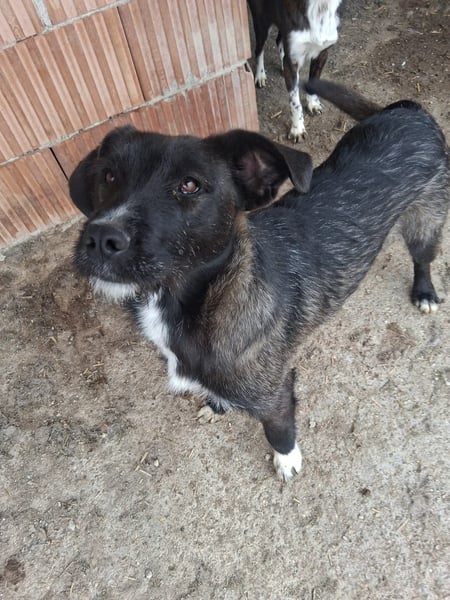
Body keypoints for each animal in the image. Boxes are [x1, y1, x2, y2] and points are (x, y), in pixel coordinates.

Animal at [69, 85, 449, 481]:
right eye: (109, 176)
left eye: (189, 185)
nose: (101, 237)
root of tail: (409, 110)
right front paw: (217, 406)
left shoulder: (275, 392)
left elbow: (277, 429)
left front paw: (286, 459)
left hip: (425, 222)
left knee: (423, 258)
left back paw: (424, 292)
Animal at [247, 0, 343, 141]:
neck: (319, 5)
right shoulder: (292, 58)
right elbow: (295, 103)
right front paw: (297, 129)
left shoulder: (322, 54)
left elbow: (313, 82)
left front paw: (313, 103)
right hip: (261, 23)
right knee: (259, 49)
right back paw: (260, 75)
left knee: (279, 41)